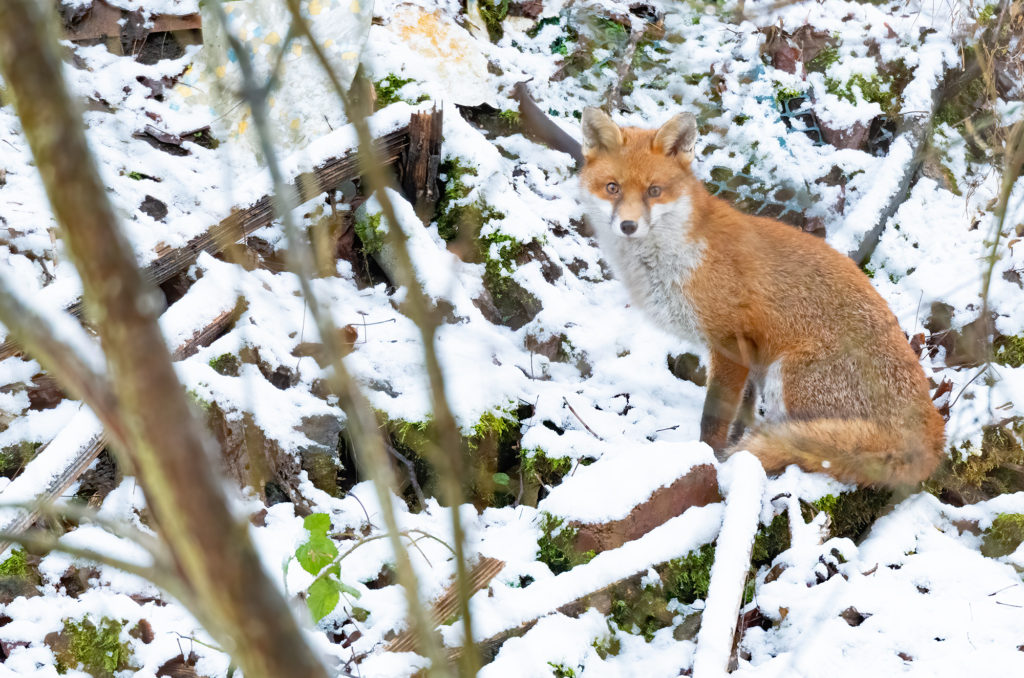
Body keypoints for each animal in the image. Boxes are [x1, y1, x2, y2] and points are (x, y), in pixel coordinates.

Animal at [581, 107, 946, 489]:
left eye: (654, 191)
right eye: (612, 188)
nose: (628, 226)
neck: (678, 256)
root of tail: (934, 434)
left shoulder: (729, 343)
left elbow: (714, 418)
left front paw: (710, 457)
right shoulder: (749, 355)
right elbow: (742, 412)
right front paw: (732, 447)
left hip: (789, 377)